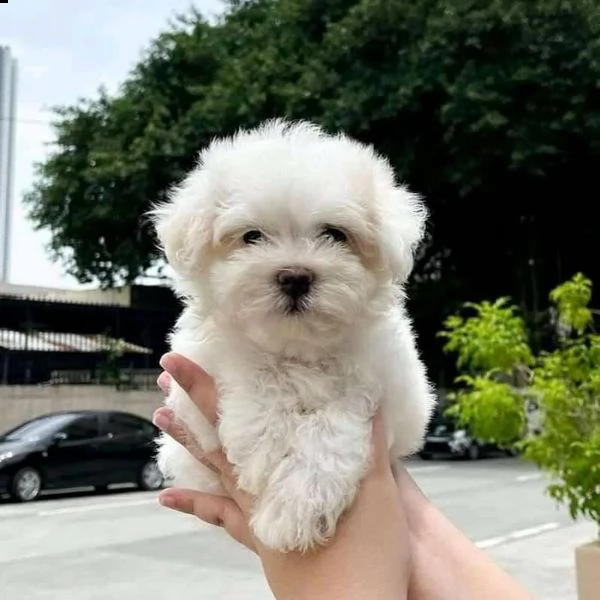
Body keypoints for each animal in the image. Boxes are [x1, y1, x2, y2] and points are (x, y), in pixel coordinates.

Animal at [152, 120, 436, 552]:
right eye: (251, 236)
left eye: (335, 234)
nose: (295, 277)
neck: (297, 346)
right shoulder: (194, 382)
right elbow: (250, 367)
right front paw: (262, 445)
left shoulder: (389, 390)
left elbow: (334, 426)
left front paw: (292, 513)